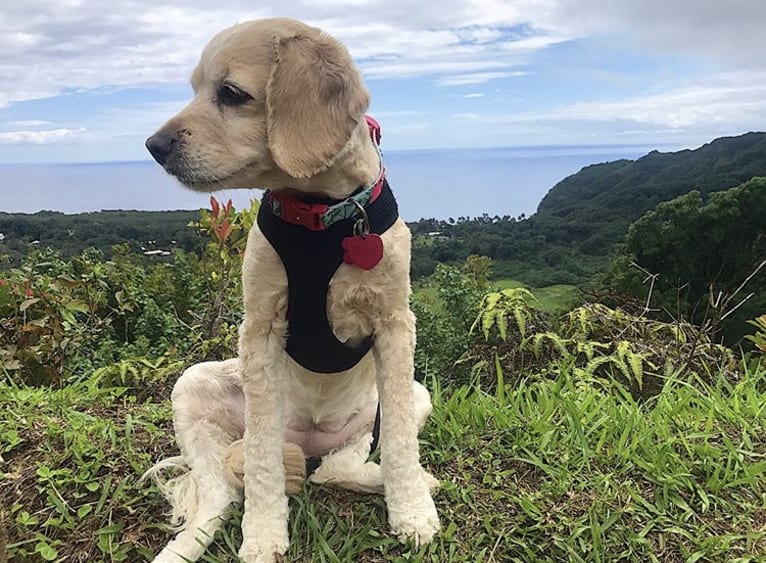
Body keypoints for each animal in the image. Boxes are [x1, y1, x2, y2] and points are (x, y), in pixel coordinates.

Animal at [144, 17, 440, 563]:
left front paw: (411, 512)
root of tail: (310, 440)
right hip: (193, 384)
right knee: (220, 491)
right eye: (194, 88)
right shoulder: (260, 330)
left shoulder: (395, 325)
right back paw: (181, 548)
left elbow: (400, 444)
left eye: (231, 92)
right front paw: (264, 534)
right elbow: (262, 459)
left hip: (404, 399)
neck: (323, 215)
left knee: (338, 466)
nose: (154, 146)